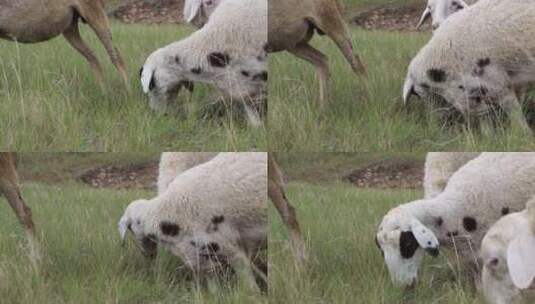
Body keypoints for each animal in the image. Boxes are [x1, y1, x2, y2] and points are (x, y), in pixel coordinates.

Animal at [0, 0, 128, 88]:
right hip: (70, 26)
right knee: (93, 58)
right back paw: (104, 93)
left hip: (93, 10)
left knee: (115, 56)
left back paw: (127, 95)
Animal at [404, 0, 535, 133]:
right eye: (429, 8)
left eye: (420, 94)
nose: (438, 122)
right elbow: (485, 120)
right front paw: (487, 135)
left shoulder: (498, 83)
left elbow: (516, 116)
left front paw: (524, 134)